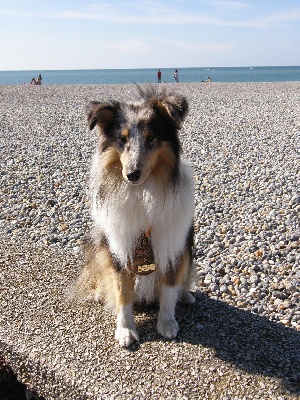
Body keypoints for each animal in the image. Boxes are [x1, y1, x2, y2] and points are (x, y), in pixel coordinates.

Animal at [74, 85, 195, 346]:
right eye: (122, 139)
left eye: (151, 138)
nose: (132, 174)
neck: (142, 193)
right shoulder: (120, 247)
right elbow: (122, 292)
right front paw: (126, 330)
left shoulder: (171, 244)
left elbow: (169, 287)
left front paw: (167, 323)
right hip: (97, 243)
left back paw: (186, 295)